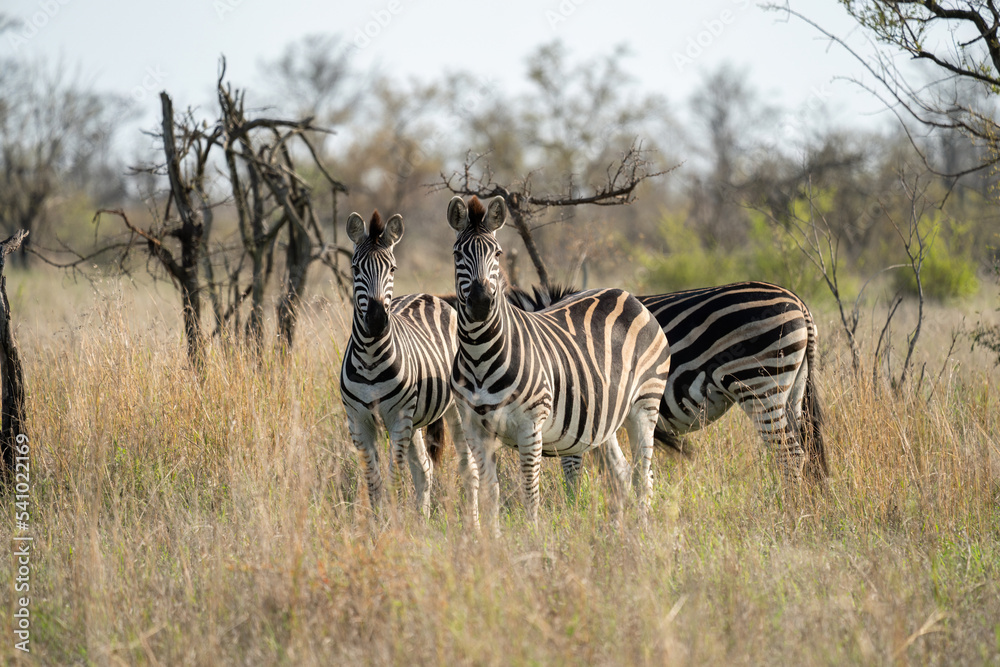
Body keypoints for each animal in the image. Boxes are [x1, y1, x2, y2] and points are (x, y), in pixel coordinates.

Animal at [340, 209, 477, 519]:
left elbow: (392, 482)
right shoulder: (359, 423)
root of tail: (429, 295)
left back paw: (475, 525)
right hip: (414, 420)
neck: (370, 358)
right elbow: (374, 484)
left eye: (392, 269)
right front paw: (377, 526)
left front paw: (390, 525)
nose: (377, 319)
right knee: (424, 470)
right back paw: (422, 523)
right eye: (355, 269)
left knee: (469, 468)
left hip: (453, 411)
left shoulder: (398, 421)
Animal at [446, 194, 671, 533]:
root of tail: (627, 294)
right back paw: (619, 535)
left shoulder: (530, 426)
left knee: (643, 478)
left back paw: (642, 533)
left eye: (497, 253)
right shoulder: (475, 429)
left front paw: (532, 537)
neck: (478, 355)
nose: (481, 301)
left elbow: (530, 492)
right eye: (458, 253)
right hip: (603, 418)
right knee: (620, 474)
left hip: (645, 404)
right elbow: (489, 492)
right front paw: (492, 541)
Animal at [510, 281, 828, 485]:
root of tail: (798, 303)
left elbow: (572, 469)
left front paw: (574, 514)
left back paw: (785, 512)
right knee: (804, 451)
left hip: (760, 384)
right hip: (792, 390)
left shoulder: (578, 405)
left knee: (788, 455)